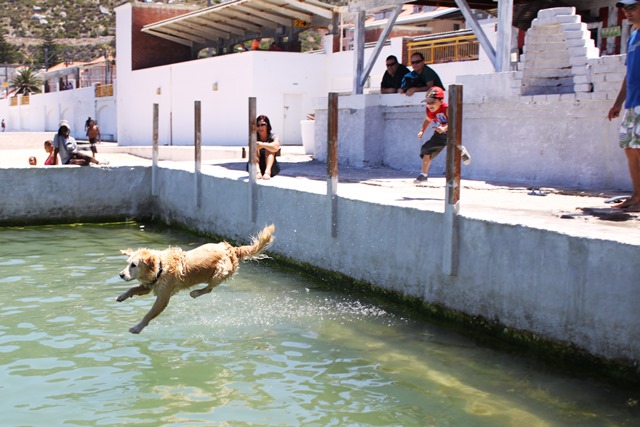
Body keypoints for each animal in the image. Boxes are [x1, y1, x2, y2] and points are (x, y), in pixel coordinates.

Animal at [119, 224, 274, 334]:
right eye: (127, 263)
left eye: (133, 265)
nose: (121, 275)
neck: (160, 267)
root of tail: (231, 249)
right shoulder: (150, 285)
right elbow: (133, 288)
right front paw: (122, 296)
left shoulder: (163, 298)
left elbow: (149, 314)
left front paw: (137, 328)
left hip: (219, 272)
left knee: (209, 288)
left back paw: (195, 293)